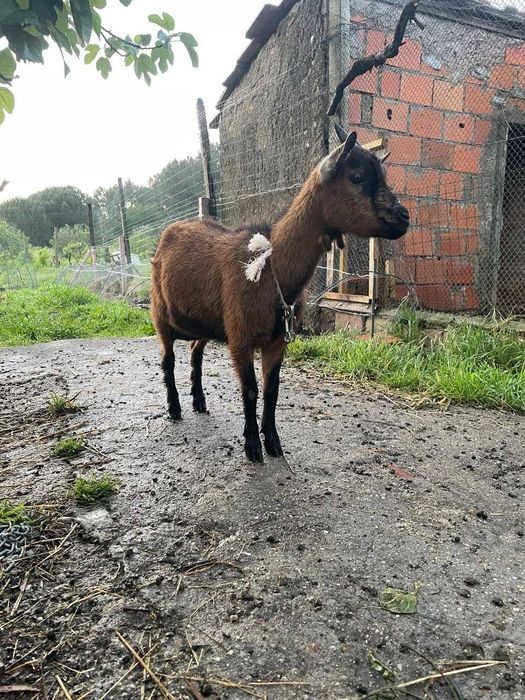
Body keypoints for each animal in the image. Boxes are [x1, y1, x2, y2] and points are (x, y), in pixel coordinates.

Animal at [151, 124, 410, 462]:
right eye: (356, 177)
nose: (404, 216)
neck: (273, 270)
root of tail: (172, 229)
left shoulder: (277, 340)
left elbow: (271, 390)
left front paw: (273, 443)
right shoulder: (241, 337)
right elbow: (250, 390)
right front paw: (252, 446)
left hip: (205, 321)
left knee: (195, 353)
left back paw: (199, 401)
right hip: (159, 314)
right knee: (167, 361)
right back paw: (175, 408)